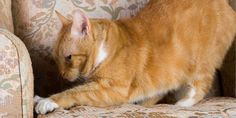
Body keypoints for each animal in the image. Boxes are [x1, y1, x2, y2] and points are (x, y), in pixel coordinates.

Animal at [34, 0, 235, 114]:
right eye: (56, 59)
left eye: (68, 57)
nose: (61, 74)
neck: (106, 50)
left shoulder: (113, 89)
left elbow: (74, 92)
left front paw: (48, 101)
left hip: (200, 63)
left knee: (200, 85)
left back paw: (182, 103)